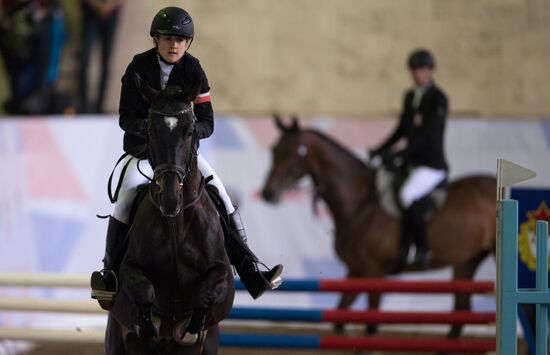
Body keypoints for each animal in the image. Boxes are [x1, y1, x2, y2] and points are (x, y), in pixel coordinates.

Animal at [105, 76, 235, 354]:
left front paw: (191, 327)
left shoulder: (221, 273)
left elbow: (209, 291)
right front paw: (149, 324)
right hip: (115, 339)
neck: (177, 223)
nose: (171, 199)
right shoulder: (128, 269)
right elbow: (141, 288)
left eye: (190, 132)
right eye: (151, 132)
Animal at [260, 117, 498, 340]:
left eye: (293, 152)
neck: (360, 205)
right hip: (467, 261)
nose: (268, 193)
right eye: (274, 149)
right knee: (461, 310)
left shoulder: (375, 272)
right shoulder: (355, 271)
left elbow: (371, 324)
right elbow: (339, 318)